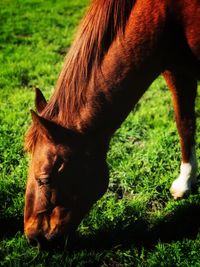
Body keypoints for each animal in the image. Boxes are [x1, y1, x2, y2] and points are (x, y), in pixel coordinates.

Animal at [23, 0, 200, 249]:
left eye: (44, 179)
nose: (32, 237)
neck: (164, 14)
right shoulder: (175, 68)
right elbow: (184, 123)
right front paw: (185, 181)